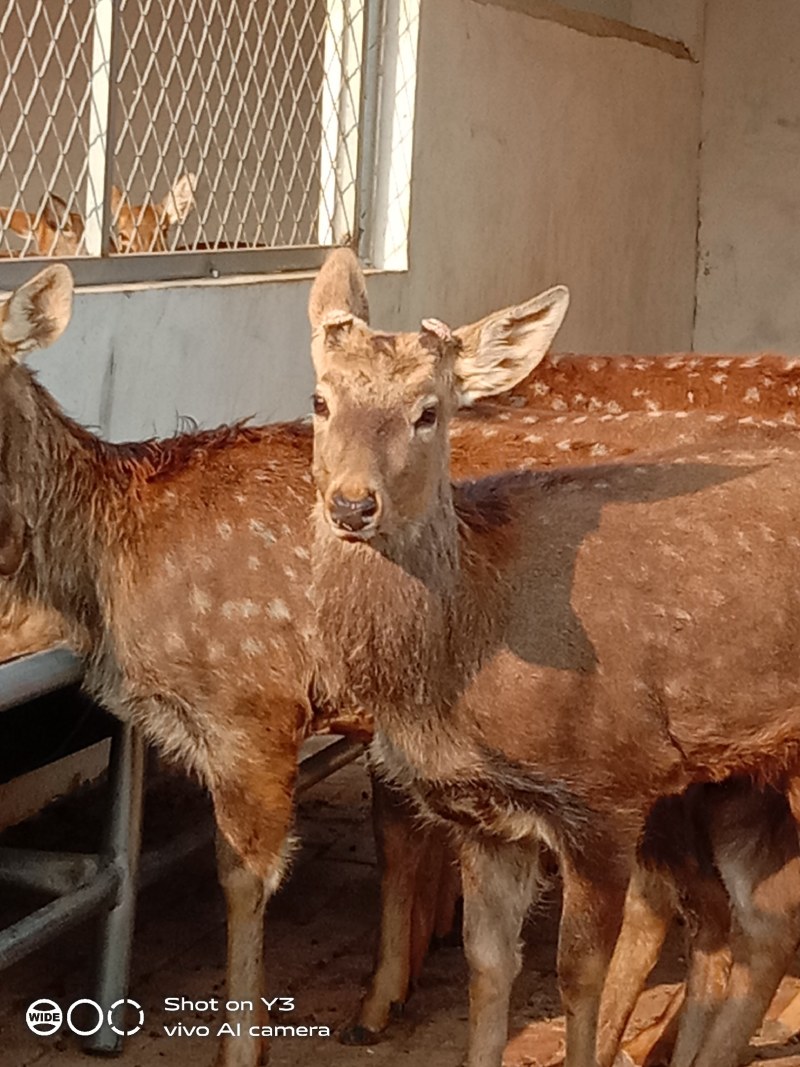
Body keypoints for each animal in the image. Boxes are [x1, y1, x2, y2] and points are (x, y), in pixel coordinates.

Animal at [307, 251, 800, 1067]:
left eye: (429, 410)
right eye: (320, 400)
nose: (351, 504)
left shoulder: (605, 787)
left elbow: (578, 974)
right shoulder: (483, 815)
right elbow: (487, 966)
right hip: (741, 767)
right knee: (765, 912)